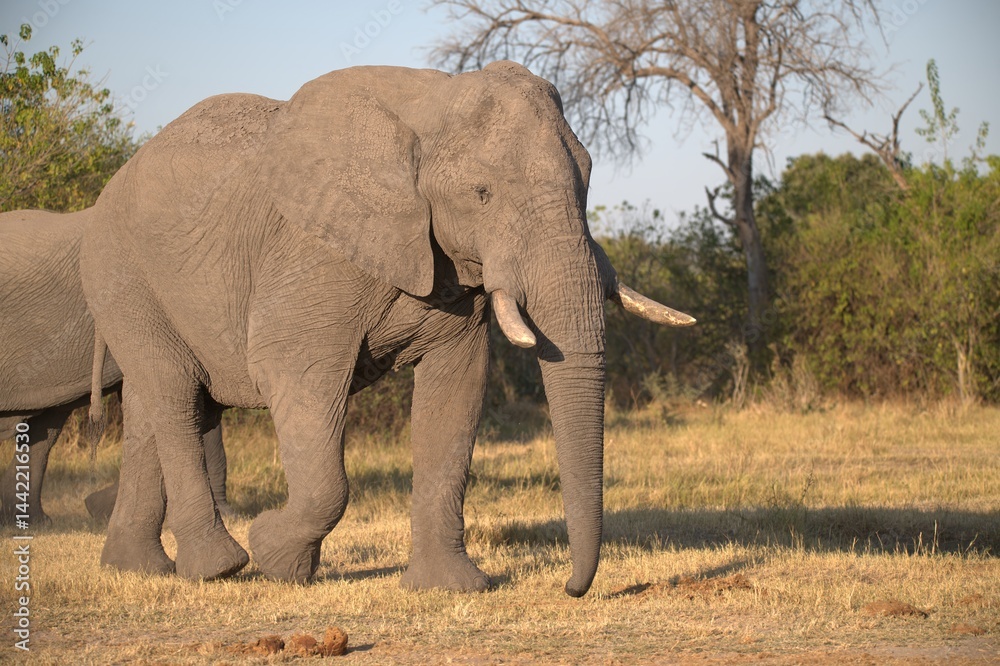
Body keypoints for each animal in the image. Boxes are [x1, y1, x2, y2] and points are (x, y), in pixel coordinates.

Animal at [80, 61, 694, 596]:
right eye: (481, 193)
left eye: (587, 180)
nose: (571, 588)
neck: (432, 102)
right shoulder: (313, 252)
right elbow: (292, 374)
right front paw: (276, 558)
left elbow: (456, 392)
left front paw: (450, 588)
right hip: (121, 274)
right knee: (175, 395)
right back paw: (219, 568)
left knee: (152, 408)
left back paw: (135, 568)